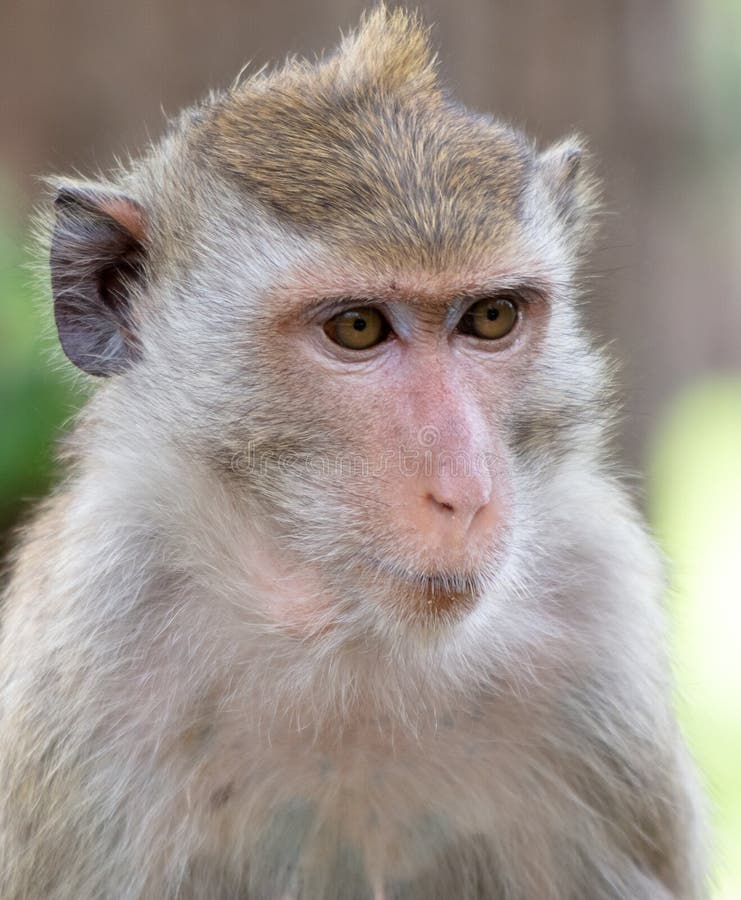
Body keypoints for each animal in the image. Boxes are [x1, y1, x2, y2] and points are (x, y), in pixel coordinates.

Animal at [0, 7, 707, 899]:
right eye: (358, 328)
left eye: (490, 317)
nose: (465, 491)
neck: (343, 635)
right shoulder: (88, 653)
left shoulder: (598, 628)